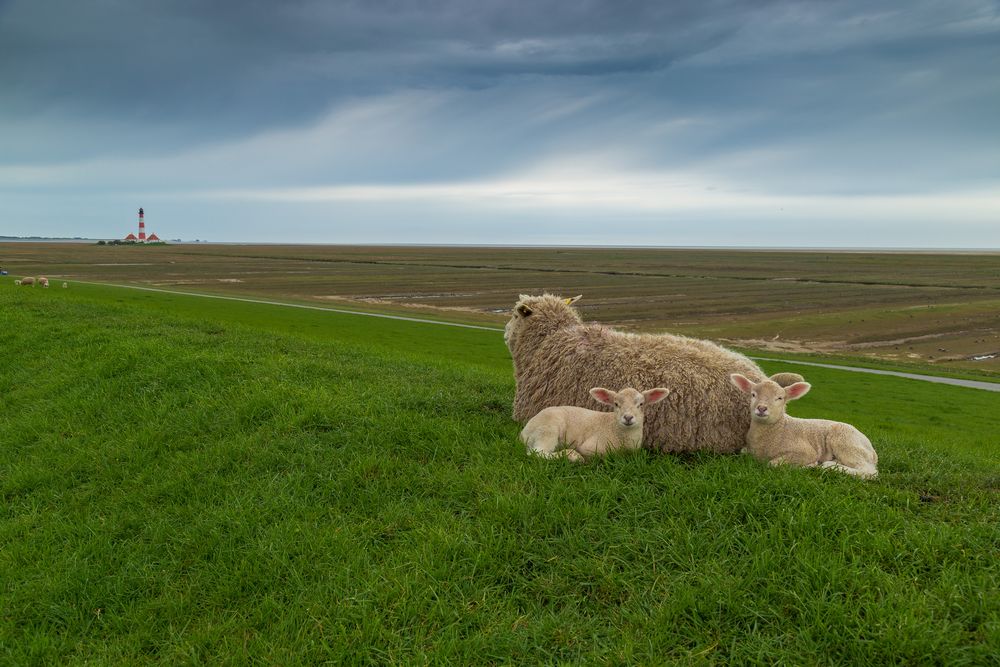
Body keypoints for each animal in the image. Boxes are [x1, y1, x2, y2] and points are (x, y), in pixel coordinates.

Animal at [516, 388, 672, 462]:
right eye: (616, 404)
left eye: (641, 404)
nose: (628, 418)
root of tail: (523, 433)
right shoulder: (591, 446)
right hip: (548, 429)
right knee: (537, 452)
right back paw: (573, 456)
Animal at [732, 376, 880, 480]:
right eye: (753, 394)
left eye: (780, 398)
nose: (762, 408)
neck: (779, 428)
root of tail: (872, 451)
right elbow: (743, 452)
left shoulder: (805, 452)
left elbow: (772, 464)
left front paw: (809, 466)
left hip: (845, 442)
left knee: (869, 471)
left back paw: (828, 466)